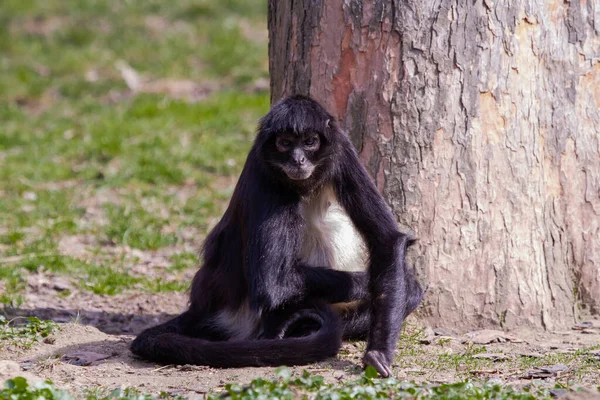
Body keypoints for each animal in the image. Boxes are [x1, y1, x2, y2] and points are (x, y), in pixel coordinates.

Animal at [131, 95, 422, 376]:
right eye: (284, 144)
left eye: (310, 142)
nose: (297, 159)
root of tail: (204, 306)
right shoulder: (266, 174)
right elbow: (273, 284)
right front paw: (367, 281)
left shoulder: (342, 152)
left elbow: (387, 240)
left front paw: (379, 351)